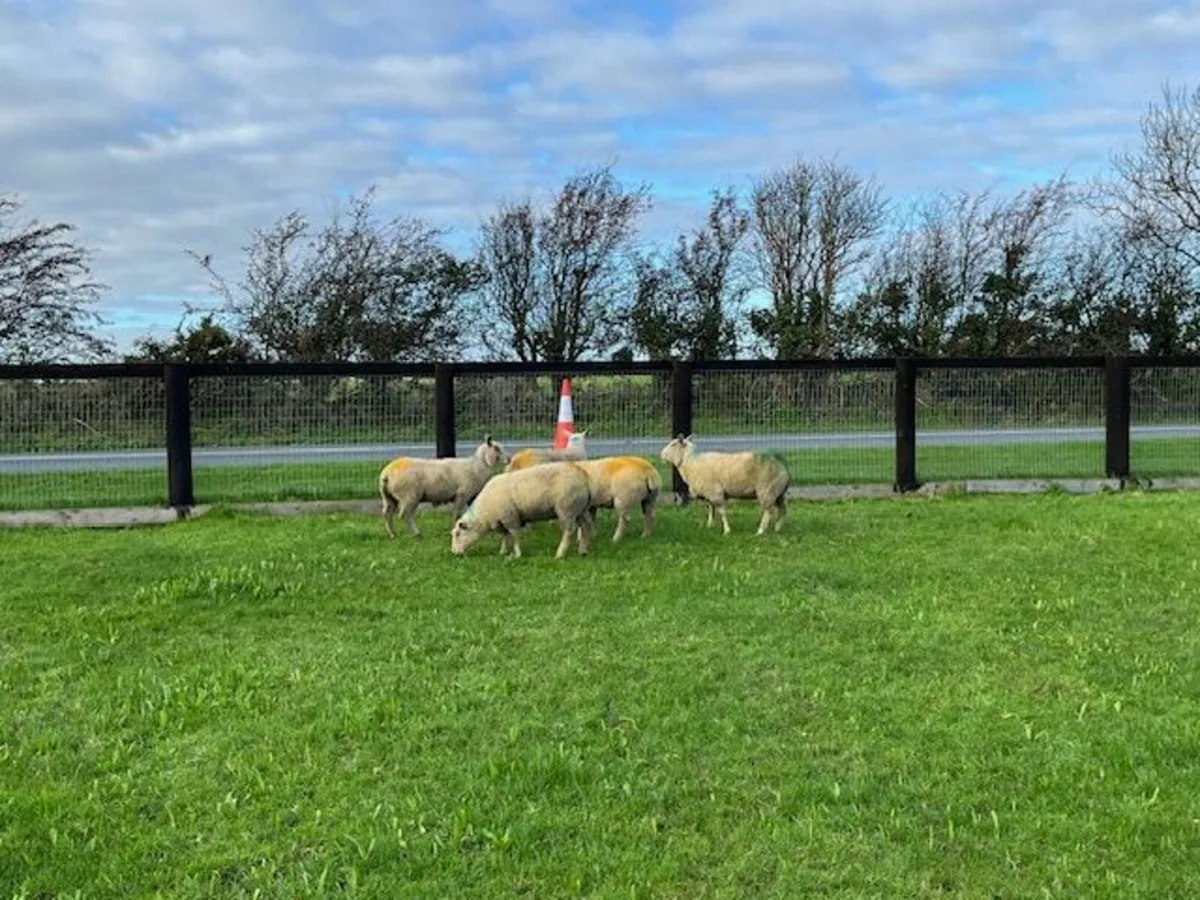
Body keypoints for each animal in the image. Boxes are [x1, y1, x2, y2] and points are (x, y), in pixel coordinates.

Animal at [378, 435, 508, 539]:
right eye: (496, 448)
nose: (508, 459)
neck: (478, 465)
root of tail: (387, 473)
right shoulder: (462, 494)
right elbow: (456, 514)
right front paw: (454, 529)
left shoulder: (472, 495)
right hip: (409, 496)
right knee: (405, 515)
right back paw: (416, 534)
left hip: (389, 497)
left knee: (387, 513)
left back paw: (393, 534)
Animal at [450, 461, 594, 559]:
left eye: (458, 534)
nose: (455, 553)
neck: (484, 515)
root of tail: (582, 474)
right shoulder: (502, 520)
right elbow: (505, 536)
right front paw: (503, 551)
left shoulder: (510, 516)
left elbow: (514, 535)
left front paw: (517, 554)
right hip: (580, 509)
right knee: (586, 526)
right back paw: (583, 550)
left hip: (566, 509)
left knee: (569, 531)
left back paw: (560, 554)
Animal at [659, 434, 790, 536]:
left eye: (673, 444)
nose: (661, 454)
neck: (690, 463)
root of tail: (783, 467)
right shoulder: (709, 493)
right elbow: (711, 509)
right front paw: (709, 525)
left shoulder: (715, 492)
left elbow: (721, 512)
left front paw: (726, 530)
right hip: (778, 493)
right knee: (783, 509)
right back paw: (778, 528)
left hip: (767, 491)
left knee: (769, 512)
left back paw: (760, 531)